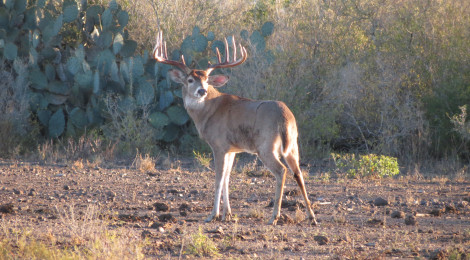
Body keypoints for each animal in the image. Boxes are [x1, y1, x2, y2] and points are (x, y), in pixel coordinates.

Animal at [152, 31, 318, 224]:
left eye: (207, 80)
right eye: (190, 80)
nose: (202, 91)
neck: (208, 111)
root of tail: (284, 116)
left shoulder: (218, 145)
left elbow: (218, 178)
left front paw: (213, 214)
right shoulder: (232, 149)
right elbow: (227, 178)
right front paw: (227, 214)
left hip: (266, 145)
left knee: (281, 171)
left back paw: (274, 216)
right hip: (292, 144)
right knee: (298, 173)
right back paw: (311, 216)